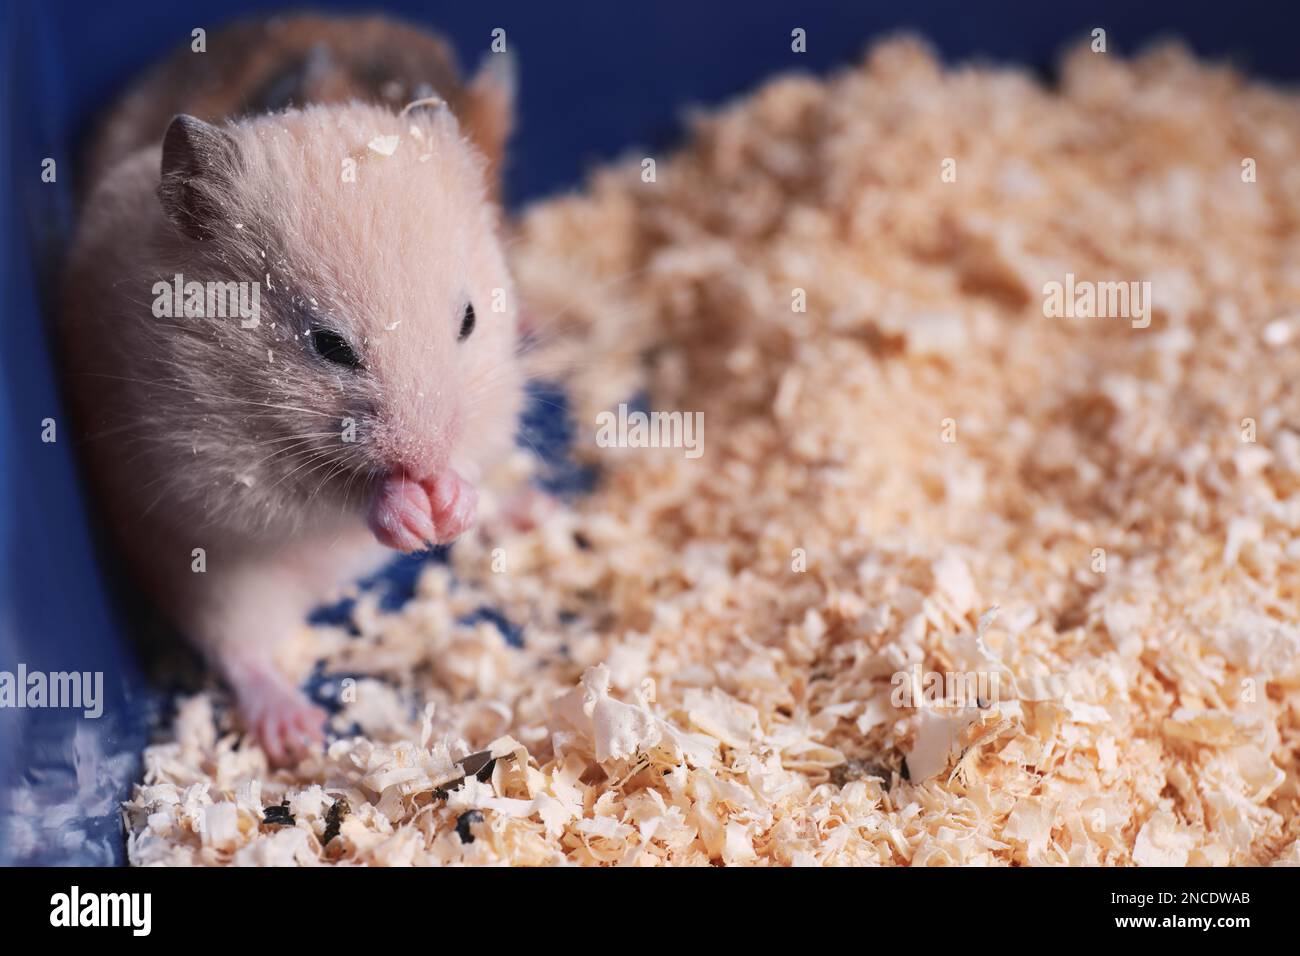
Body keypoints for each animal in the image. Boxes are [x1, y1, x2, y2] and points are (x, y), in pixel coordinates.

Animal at [59, 16, 524, 764]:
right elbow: (327, 495)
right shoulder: (209, 461)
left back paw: (530, 507)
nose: (423, 463)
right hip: (218, 585)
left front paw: (449, 504)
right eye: (328, 345)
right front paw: (408, 512)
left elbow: (474, 455)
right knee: (241, 651)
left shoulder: (490, 400)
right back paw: (294, 730)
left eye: (469, 321)